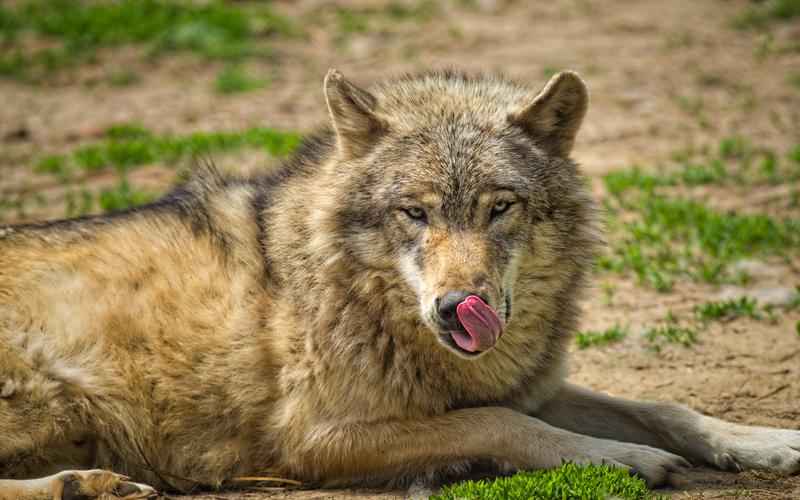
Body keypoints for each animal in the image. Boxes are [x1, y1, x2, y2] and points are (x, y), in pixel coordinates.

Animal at [1, 68, 800, 498]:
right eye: (415, 212)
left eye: (499, 207)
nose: (456, 308)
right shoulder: (315, 438)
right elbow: (504, 425)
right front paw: (624, 460)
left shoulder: (530, 384)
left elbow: (666, 407)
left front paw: (765, 443)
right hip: (55, 394)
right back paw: (83, 482)